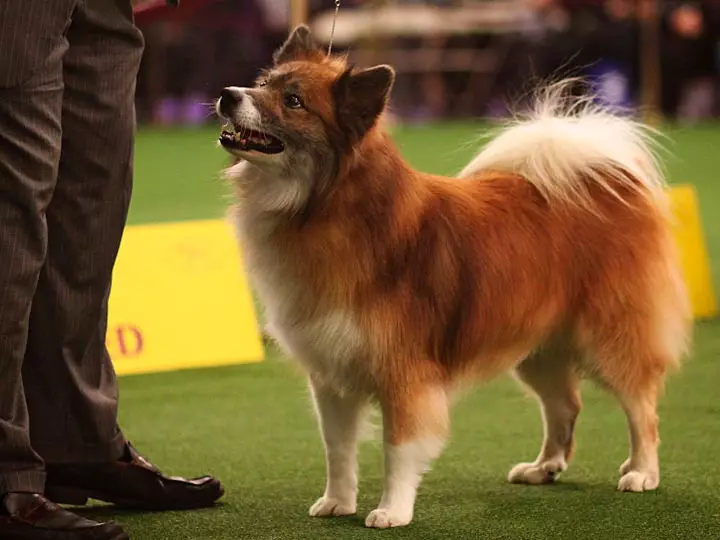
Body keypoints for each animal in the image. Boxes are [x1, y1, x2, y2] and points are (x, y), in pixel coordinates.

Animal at [215, 24, 692, 528]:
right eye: (262, 82)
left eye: (293, 101)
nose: (228, 94)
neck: (326, 205)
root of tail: (610, 180)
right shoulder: (332, 374)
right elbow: (338, 449)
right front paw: (338, 502)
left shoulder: (404, 372)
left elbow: (397, 449)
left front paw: (392, 511)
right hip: (537, 346)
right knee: (565, 404)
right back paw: (544, 467)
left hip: (609, 337)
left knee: (642, 407)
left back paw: (642, 472)